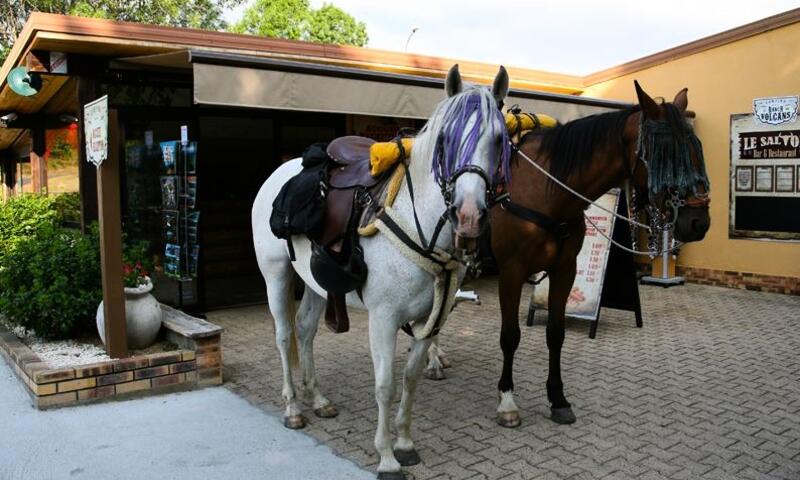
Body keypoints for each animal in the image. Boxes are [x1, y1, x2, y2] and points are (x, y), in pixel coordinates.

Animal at [253, 64, 510, 480]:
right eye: (445, 140)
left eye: (500, 139)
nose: (469, 216)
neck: (415, 221)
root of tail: (282, 172)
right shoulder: (384, 318)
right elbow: (385, 385)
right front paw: (387, 457)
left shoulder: (430, 321)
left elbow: (411, 379)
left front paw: (404, 443)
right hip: (276, 275)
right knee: (283, 335)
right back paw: (293, 407)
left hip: (313, 283)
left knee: (305, 331)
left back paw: (318, 398)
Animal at [490, 82, 708, 428]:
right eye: (665, 154)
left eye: (696, 148)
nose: (699, 222)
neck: (544, 188)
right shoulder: (510, 271)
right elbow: (510, 335)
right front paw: (507, 399)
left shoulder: (564, 270)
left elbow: (556, 333)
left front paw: (558, 398)